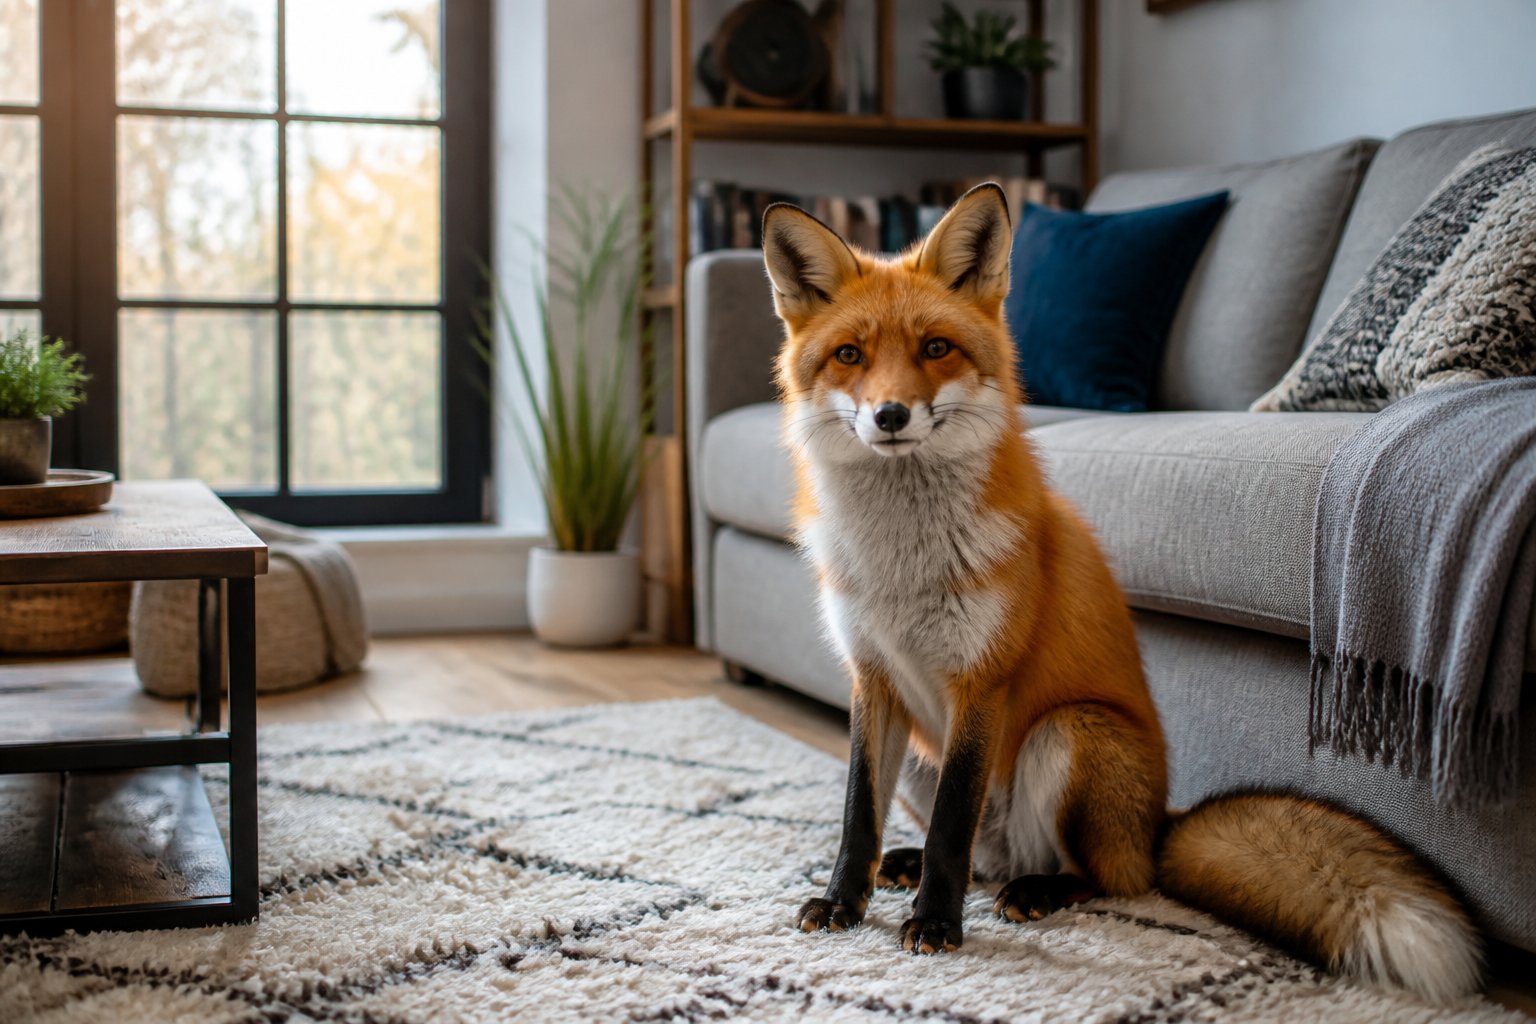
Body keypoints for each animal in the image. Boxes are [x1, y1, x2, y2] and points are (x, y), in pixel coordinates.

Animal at [761, 183, 1483, 1004]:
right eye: (850, 356)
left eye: (935, 349)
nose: (889, 416)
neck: (901, 563)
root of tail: (1160, 823)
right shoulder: (873, 679)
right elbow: (859, 816)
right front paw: (844, 902)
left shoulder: (982, 682)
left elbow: (949, 827)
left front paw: (938, 923)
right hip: (923, 754)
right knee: (986, 858)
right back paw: (913, 867)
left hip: (1067, 734)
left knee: (1103, 878)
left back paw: (1035, 891)